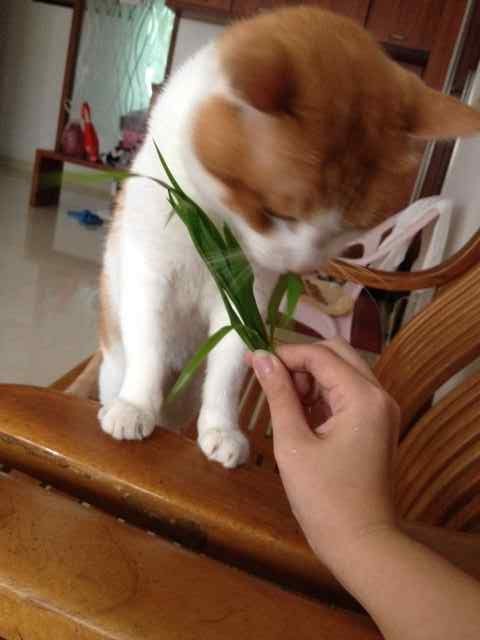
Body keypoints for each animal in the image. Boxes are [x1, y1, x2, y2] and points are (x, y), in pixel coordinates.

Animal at [95, 6, 480, 468]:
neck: (210, 226)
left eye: (348, 228)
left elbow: (229, 366)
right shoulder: (149, 275)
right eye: (274, 213)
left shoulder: (246, 298)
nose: (300, 266)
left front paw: (221, 429)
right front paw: (135, 405)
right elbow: (149, 348)